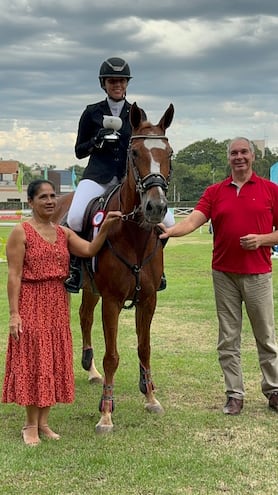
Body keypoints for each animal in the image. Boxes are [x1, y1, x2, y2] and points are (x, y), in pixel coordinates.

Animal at [52, 102, 174, 432]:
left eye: (169, 154)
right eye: (135, 153)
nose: (156, 207)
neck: (134, 235)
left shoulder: (148, 299)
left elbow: (144, 348)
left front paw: (151, 397)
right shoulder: (112, 301)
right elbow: (112, 356)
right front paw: (106, 412)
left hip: (91, 288)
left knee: (84, 317)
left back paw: (90, 369)